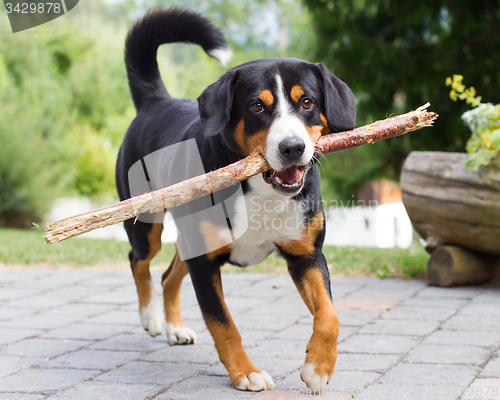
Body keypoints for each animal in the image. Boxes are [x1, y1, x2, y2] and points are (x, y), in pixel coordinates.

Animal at [114, 7, 356, 392]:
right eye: (257, 106)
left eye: (307, 102)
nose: (292, 147)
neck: (259, 189)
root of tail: (157, 101)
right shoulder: (205, 263)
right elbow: (223, 324)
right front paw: (246, 372)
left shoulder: (306, 254)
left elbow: (330, 315)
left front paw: (318, 366)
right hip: (147, 226)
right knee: (139, 260)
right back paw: (150, 316)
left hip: (190, 240)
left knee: (168, 275)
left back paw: (175, 328)